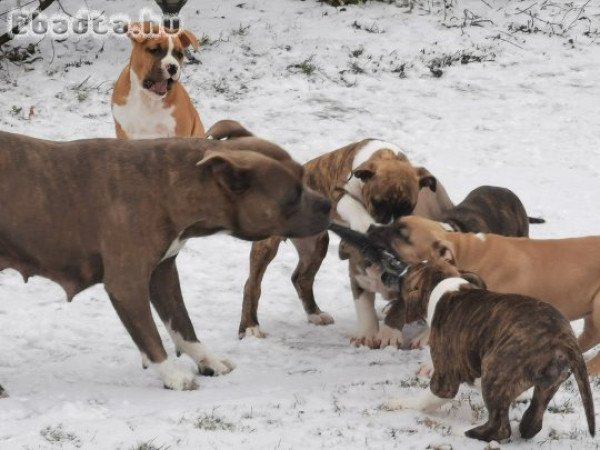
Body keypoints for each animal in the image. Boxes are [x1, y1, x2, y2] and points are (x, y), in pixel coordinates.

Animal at [0, 127, 330, 394]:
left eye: (304, 175)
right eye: (291, 197)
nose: (327, 204)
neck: (169, 186)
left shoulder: (163, 273)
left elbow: (183, 325)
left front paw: (208, 361)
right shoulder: (127, 283)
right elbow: (150, 337)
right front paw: (173, 376)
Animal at [384, 262, 596, 442]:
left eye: (404, 279)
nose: (391, 273)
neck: (443, 285)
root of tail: (564, 341)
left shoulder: (445, 380)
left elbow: (425, 399)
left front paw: (401, 404)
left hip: (495, 368)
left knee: (500, 428)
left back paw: (464, 434)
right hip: (549, 384)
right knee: (533, 419)